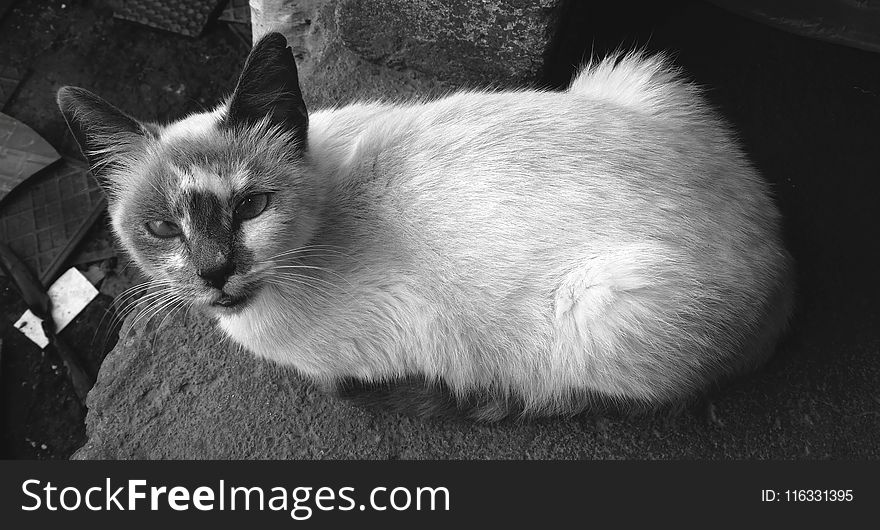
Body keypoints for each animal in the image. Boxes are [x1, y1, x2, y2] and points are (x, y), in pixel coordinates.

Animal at [56, 33, 796, 420]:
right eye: (161, 227)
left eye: (251, 208)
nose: (214, 271)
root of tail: (786, 256)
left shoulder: (410, 335)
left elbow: (345, 386)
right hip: (632, 74)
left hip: (604, 306)